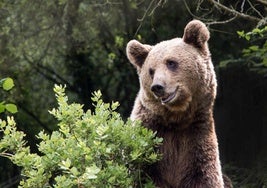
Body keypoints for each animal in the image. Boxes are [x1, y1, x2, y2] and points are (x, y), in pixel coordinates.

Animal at [126, 19, 231, 187]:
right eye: (151, 71)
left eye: (171, 62)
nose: (157, 87)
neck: (177, 119)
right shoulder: (148, 138)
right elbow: (139, 173)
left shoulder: (196, 139)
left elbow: (205, 176)